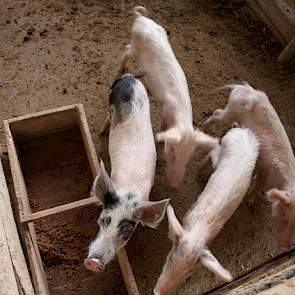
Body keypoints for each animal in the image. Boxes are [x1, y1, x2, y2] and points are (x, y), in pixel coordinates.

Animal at [84, 74, 170, 272]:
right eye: (103, 219)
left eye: (126, 231)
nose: (93, 262)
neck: (129, 192)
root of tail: (129, 77)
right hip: (110, 100)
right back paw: (103, 131)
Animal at [118, 6, 220, 187]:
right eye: (171, 151)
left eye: (189, 156)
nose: (175, 183)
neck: (180, 118)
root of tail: (142, 19)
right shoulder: (164, 110)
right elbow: (162, 126)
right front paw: (159, 137)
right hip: (135, 45)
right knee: (127, 48)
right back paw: (121, 69)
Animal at [154, 128, 260, 294]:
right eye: (170, 258)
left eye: (189, 273)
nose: (156, 292)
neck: (197, 233)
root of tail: (245, 131)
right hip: (225, 143)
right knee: (214, 152)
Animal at [205, 83, 295, 252]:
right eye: (285, 217)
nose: (285, 248)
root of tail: (245, 87)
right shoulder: (264, 174)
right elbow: (256, 187)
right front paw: (250, 202)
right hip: (231, 110)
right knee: (217, 113)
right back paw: (203, 126)